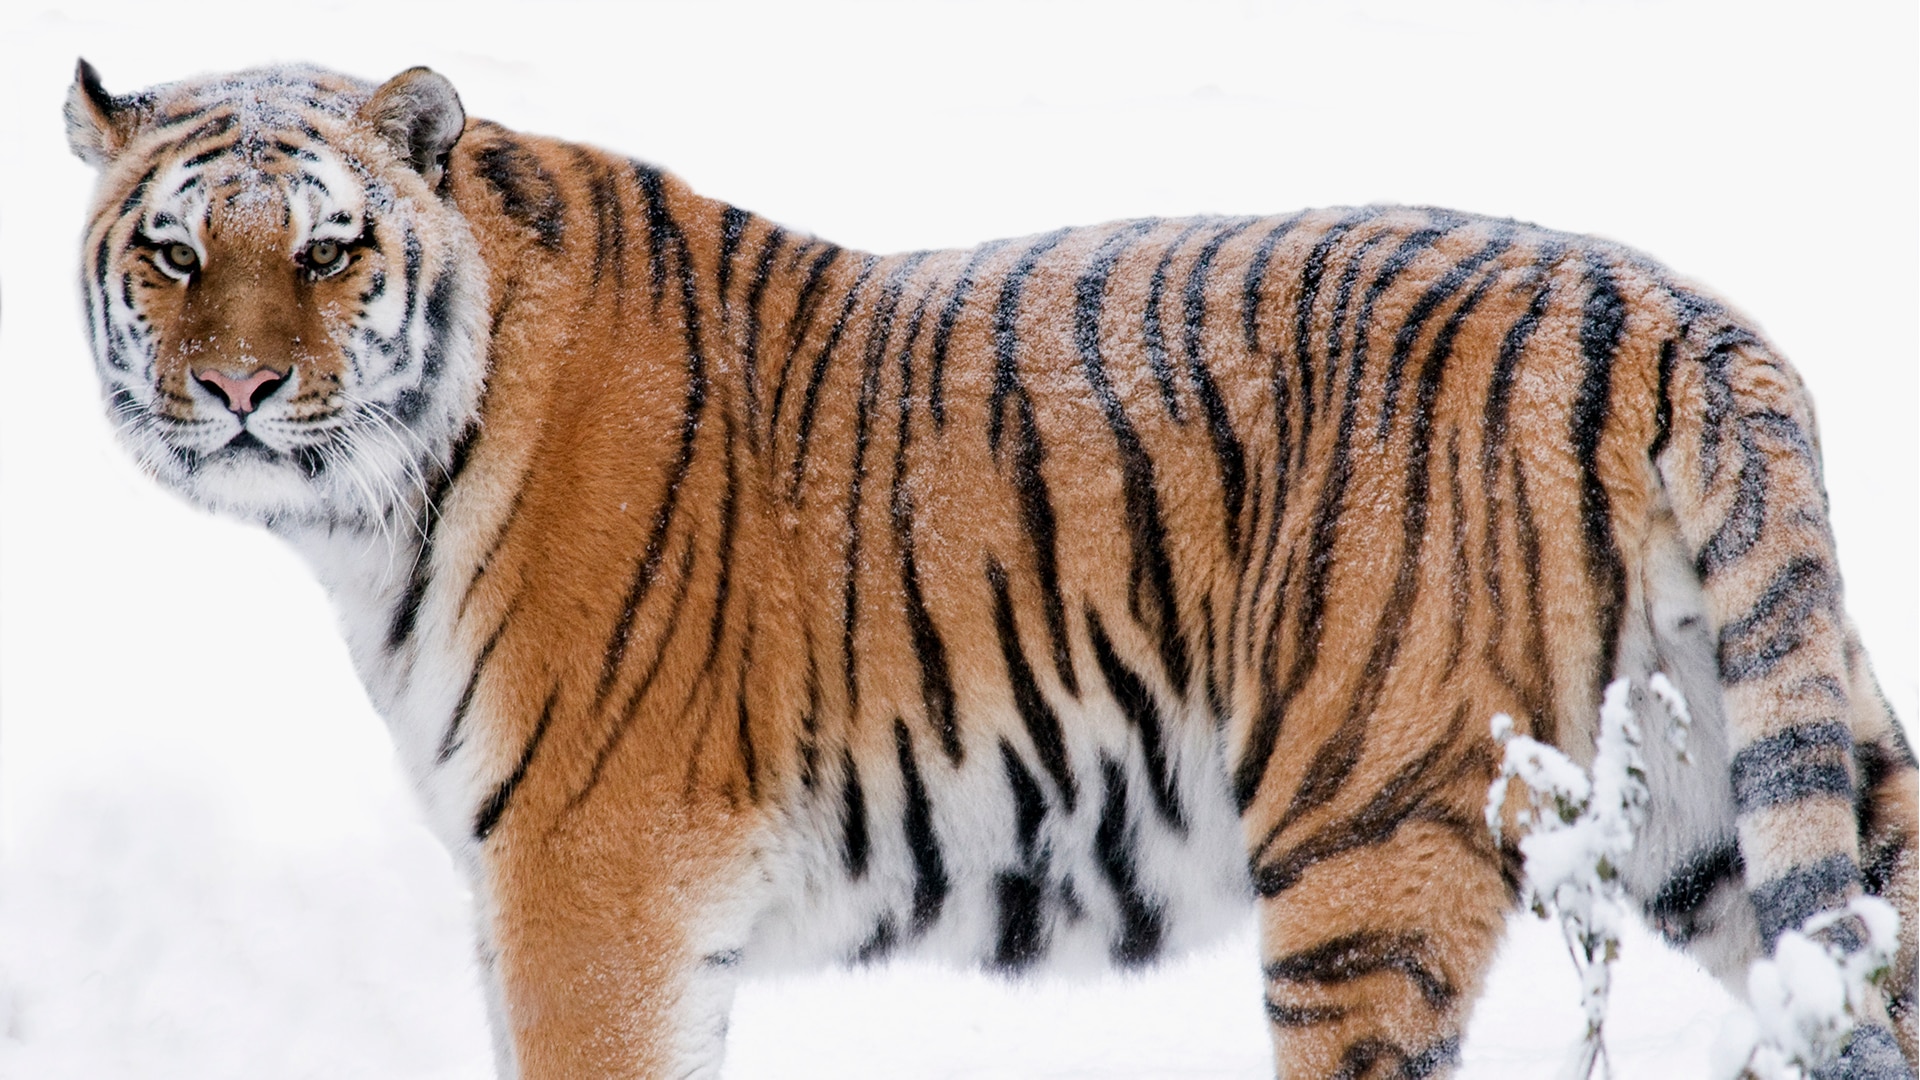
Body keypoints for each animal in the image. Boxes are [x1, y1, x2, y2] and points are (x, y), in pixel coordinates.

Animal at [63, 61, 1920, 1076]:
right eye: (174, 253)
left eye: (328, 250)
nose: (238, 390)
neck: (377, 510)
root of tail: (1675, 312)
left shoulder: (590, 884)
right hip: (1738, 792)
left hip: (1367, 839)